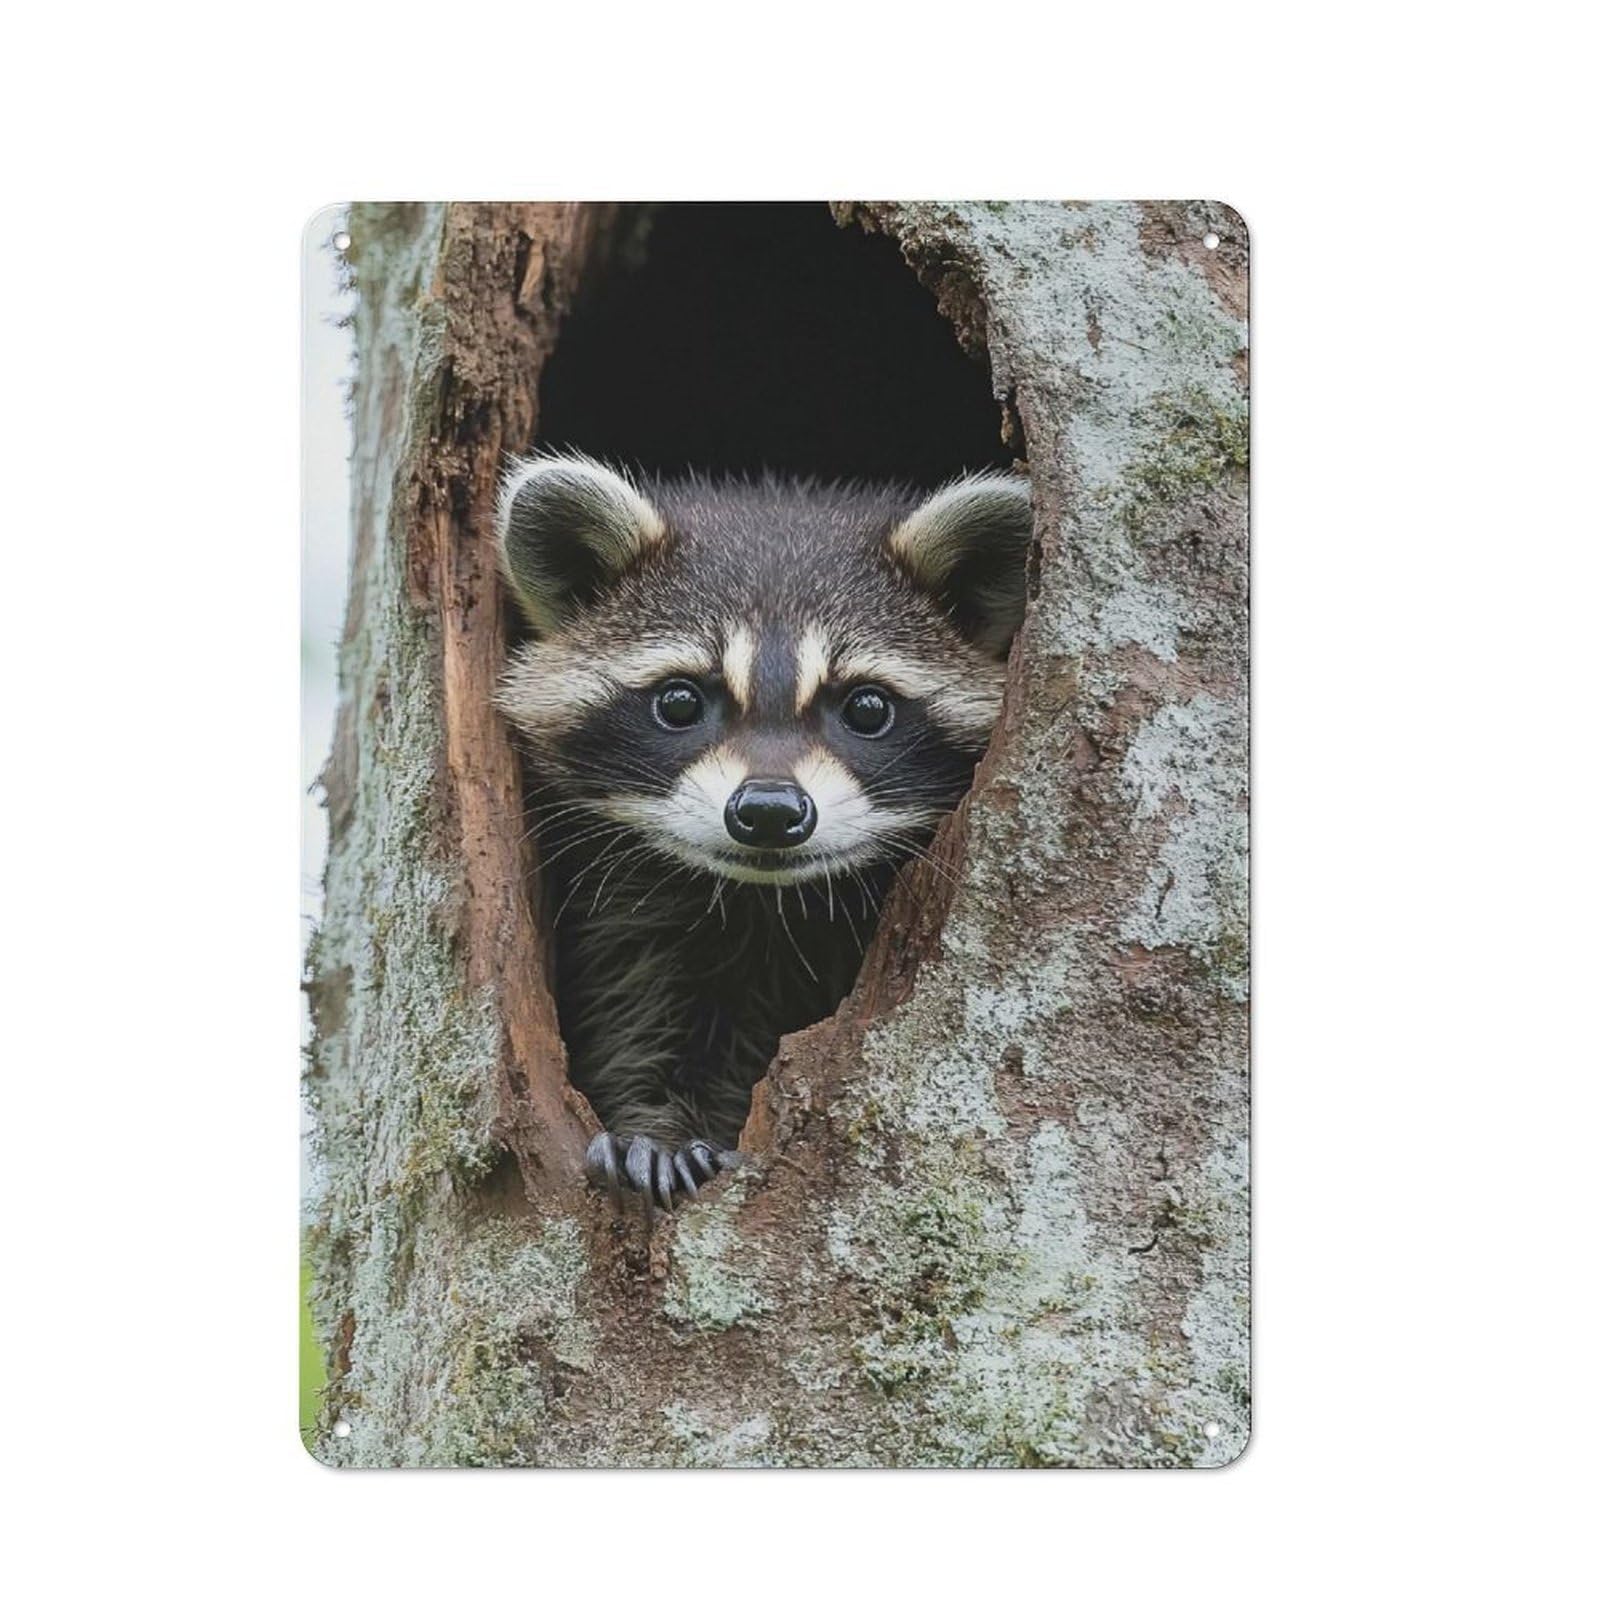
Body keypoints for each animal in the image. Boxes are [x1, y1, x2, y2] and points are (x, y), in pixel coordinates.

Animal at [495, 454, 1032, 1209]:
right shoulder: (635, 911)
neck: (766, 899)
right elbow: (642, 1015)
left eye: (867, 708)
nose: (771, 811)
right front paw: (654, 1126)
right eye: (680, 701)